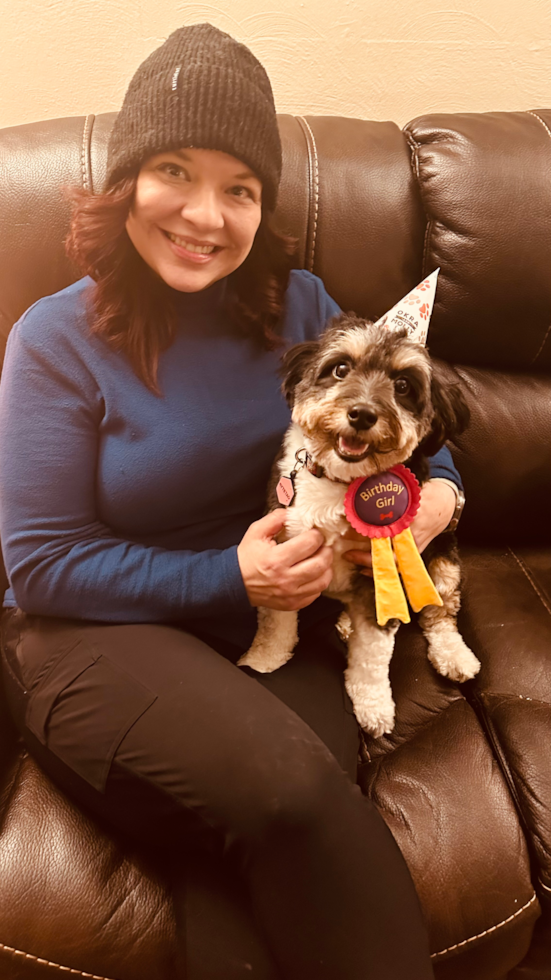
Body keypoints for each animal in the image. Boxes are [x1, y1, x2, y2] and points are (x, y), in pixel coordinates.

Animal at [239, 314, 480, 736]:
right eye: (340, 369)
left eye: (403, 386)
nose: (363, 414)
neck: (340, 481)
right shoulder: (285, 555)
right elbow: (276, 622)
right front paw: (263, 659)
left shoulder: (384, 575)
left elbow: (373, 657)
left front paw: (374, 705)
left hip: (442, 560)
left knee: (440, 613)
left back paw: (455, 654)